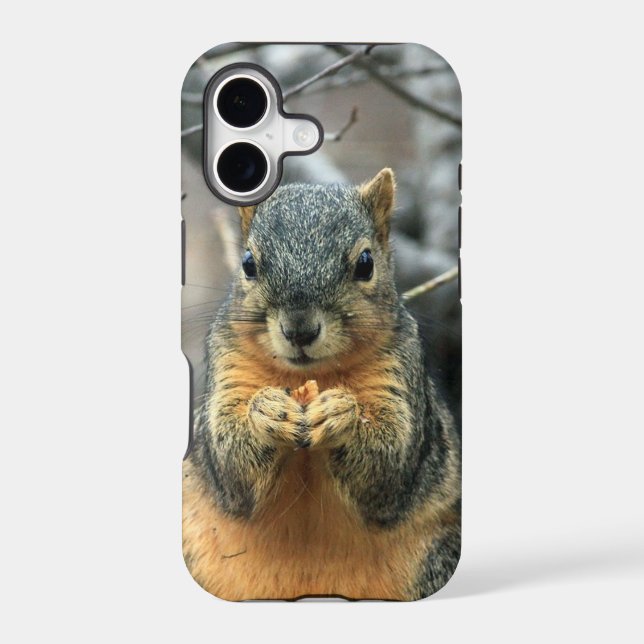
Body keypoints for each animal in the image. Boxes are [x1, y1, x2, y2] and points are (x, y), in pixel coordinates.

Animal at [182, 168, 461, 601]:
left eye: (365, 263)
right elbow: (228, 464)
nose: (299, 330)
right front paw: (266, 412)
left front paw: (341, 413)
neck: (306, 377)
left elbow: (391, 465)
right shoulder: (228, 364)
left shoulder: (399, 372)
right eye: (248, 263)